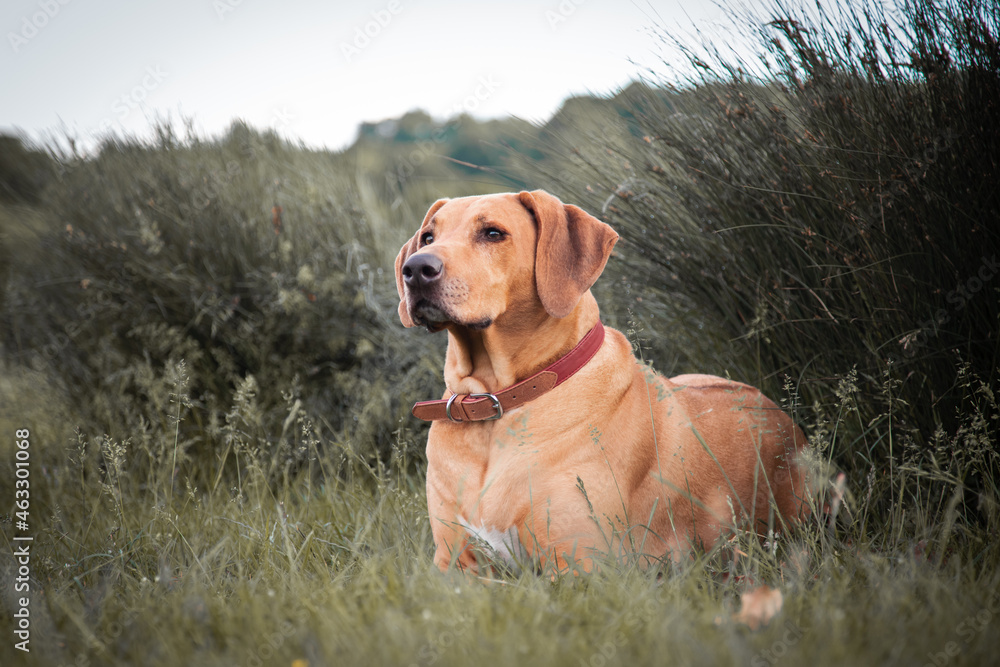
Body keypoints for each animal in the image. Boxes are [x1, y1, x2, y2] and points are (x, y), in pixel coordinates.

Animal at [394, 189, 808, 576]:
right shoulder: (453, 565)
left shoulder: (580, 566)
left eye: (493, 233)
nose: (415, 268)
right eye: (428, 237)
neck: (496, 404)